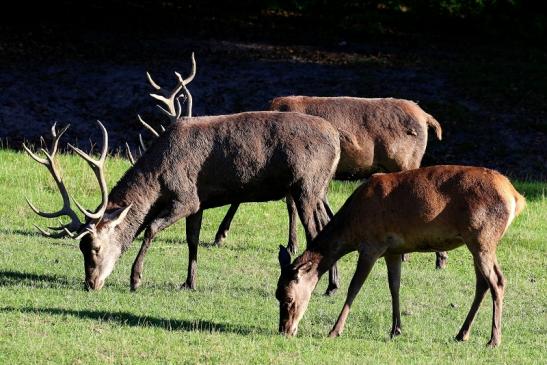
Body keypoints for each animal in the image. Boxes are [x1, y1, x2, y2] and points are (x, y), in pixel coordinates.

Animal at [26, 112, 342, 292]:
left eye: (95, 247)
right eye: (81, 248)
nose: (91, 284)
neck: (159, 176)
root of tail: (337, 139)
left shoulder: (186, 197)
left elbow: (151, 227)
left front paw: (135, 279)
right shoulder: (199, 203)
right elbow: (192, 240)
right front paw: (189, 283)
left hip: (306, 185)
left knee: (316, 231)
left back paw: (327, 286)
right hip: (318, 189)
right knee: (327, 224)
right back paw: (332, 285)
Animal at [278, 165, 528, 346]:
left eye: (288, 298)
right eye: (276, 295)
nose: (285, 331)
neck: (352, 226)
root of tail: (516, 198)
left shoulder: (372, 245)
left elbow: (354, 287)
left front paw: (334, 331)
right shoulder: (393, 250)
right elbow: (394, 286)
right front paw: (396, 329)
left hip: (482, 238)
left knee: (497, 281)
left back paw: (493, 340)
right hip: (477, 242)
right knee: (482, 283)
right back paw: (461, 334)